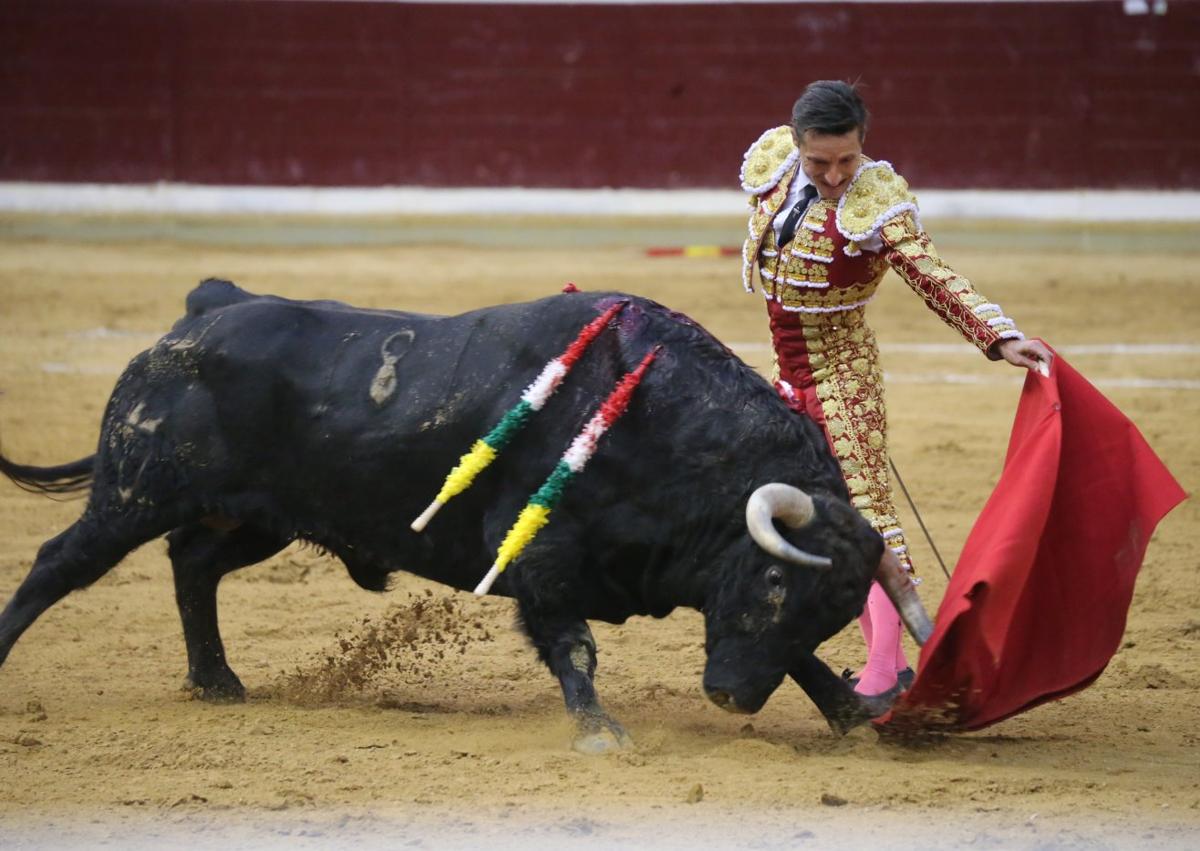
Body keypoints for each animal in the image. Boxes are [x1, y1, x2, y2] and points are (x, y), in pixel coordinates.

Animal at [0, 280, 926, 748]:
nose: (731, 698)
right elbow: (574, 645)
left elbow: (804, 661)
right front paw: (600, 732)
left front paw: (852, 713)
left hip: (256, 518)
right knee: (58, 563)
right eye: (772, 580)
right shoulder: (542, 557)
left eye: (832, 606)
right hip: (134, 492)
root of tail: (200, 315)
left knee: (193, 563)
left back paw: (218, 681)